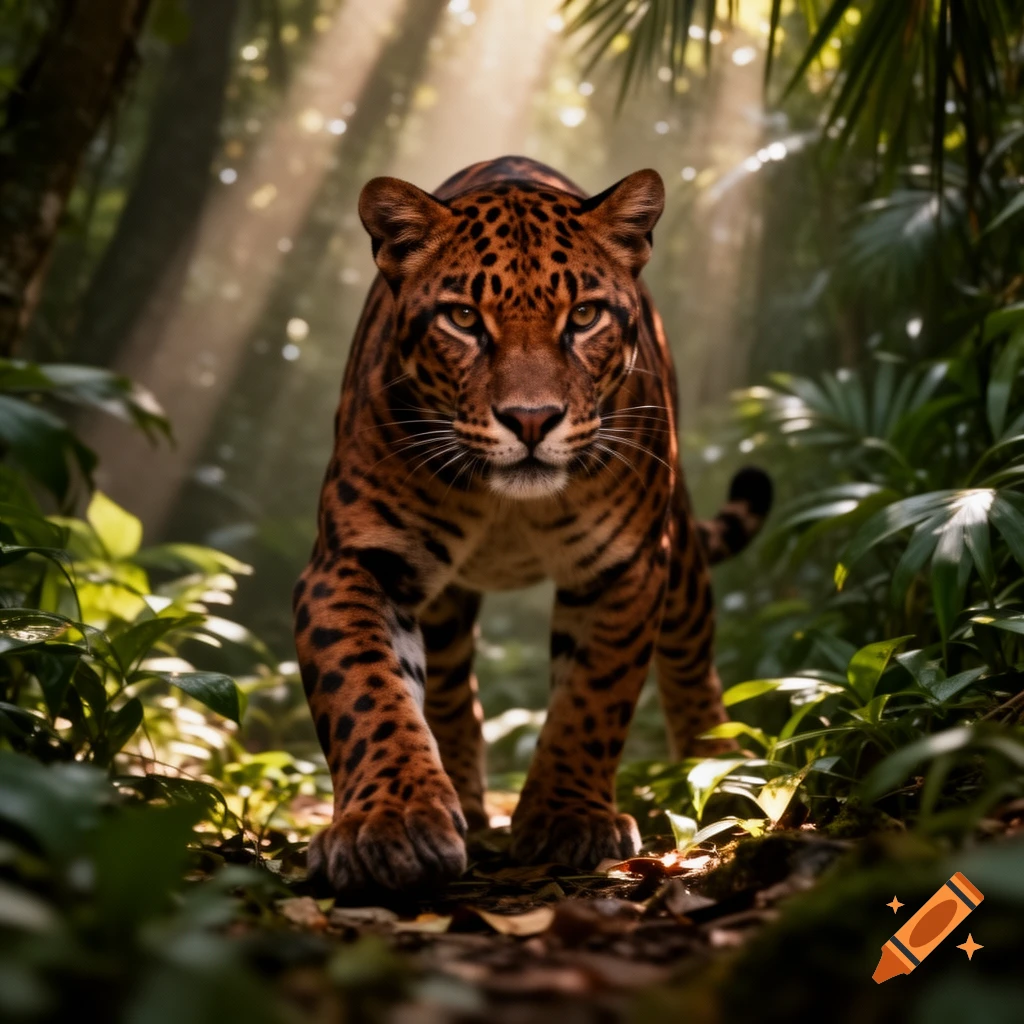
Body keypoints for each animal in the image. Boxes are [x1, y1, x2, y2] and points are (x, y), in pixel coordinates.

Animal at [292, 156, 772, 893]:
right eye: (463, 318)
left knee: (694, 664)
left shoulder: (627, 566)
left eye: (584, 316)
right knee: (453, 689)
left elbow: (593, 696)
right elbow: (366, 690)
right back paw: (462, 796)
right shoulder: (352, 560)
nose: (530, 419)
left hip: (683, 557)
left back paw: (716, 772)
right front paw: (392, 822)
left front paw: (568, 818)